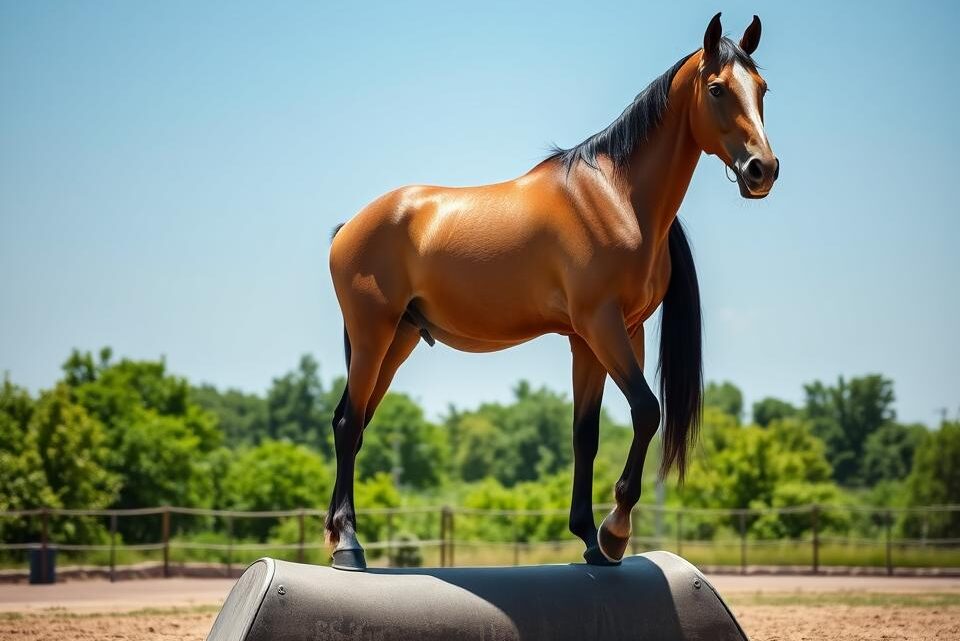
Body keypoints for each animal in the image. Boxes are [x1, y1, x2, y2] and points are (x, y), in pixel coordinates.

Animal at [325, 12, 778, 570]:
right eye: (717, 89)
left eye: (761, 89)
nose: (763, 169)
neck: (614, 197)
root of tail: (350, 227)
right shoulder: (601, 325)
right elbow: (647, 410)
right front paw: (615, 530)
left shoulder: (604, 335)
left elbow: (586, 434)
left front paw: (590, 538)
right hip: (374, 334)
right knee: (349, 425)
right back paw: (349, 545)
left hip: (400, 339)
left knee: (353, 422)